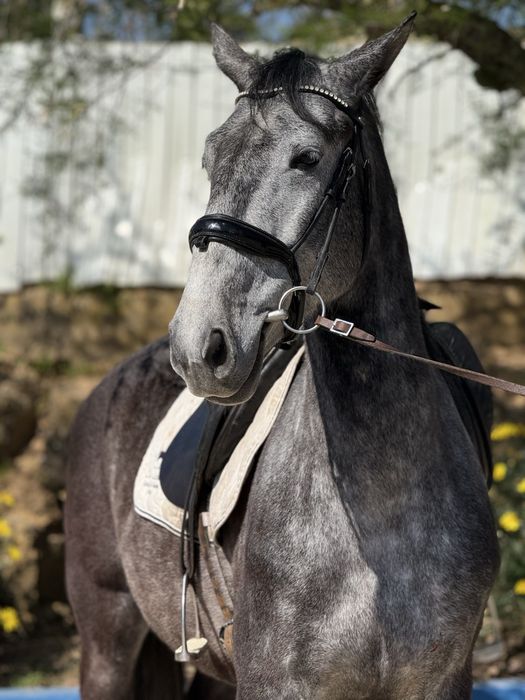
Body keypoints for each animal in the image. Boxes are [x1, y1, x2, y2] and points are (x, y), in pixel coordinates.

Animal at [65, 15, 500, 699]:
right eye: (211, 157)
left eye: (307, 158)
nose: (199, 347)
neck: (383, 513)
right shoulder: (276, 682)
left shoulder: (442, 681)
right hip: (106, 639)